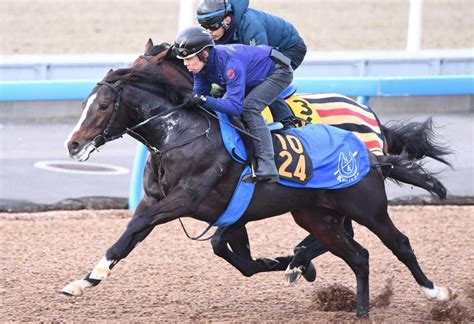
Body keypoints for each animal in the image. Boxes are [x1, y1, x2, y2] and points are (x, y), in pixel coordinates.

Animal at [61, 49, 454, 318]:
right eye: (84, 104)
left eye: (103, 106)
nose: (73, 145)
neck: (181, 134)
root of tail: (370, 154)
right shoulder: (197, 209)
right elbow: (134, 238)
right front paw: (83, 281)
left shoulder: (186, 200)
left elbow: (142, 227)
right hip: (315, 216)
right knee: (358, 255)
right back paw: (351, 303)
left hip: (367, 209)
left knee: (399, 244)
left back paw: (437, 293)